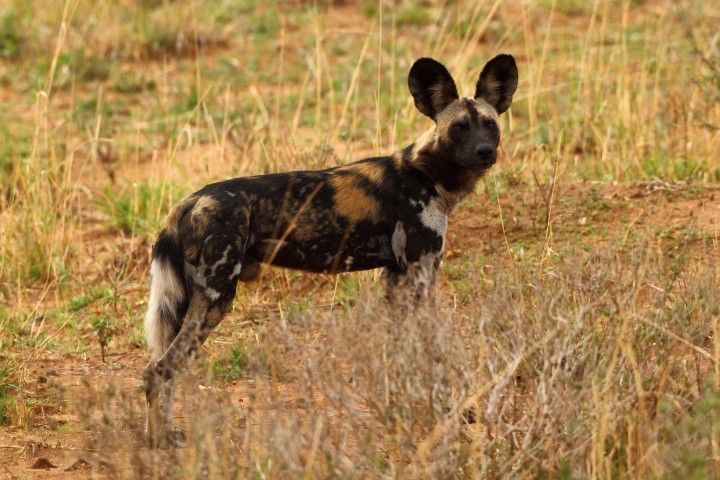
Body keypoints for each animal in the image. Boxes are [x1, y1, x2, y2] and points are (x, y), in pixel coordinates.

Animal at [145, 54, 516, 444]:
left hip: (186, 303)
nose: (485, 151)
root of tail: (188, 202)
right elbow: (431, 353)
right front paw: (447, 408)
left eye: (490, 125)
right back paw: (160, 441)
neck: (426, 173)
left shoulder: (396, 278)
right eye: (458, 128)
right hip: (216, 297)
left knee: (158, 367)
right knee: (161, 369)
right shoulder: (419, 275)